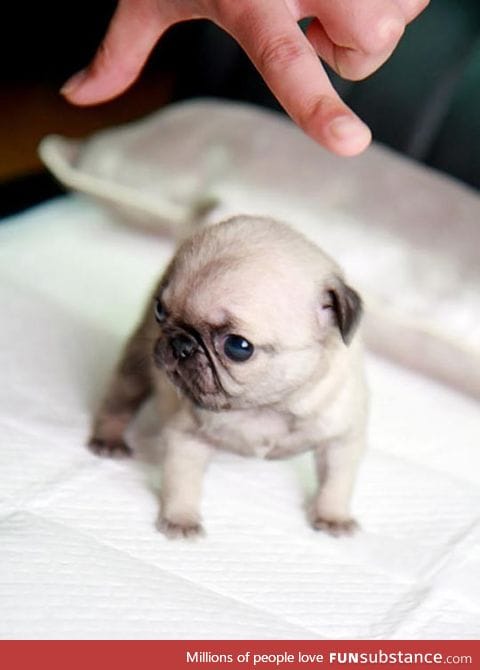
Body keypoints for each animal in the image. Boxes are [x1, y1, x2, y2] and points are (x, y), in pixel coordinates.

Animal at [89, 217, 368, 540]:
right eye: (160, 310)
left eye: (238, 346)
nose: (179, 343)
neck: (266, 407)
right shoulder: (187, 437)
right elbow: (181, 481)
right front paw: (180, 518)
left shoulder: (341, 438)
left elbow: (337, 482)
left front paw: (333, 515)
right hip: (136, 364)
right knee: (119, 399)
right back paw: (109, 438)